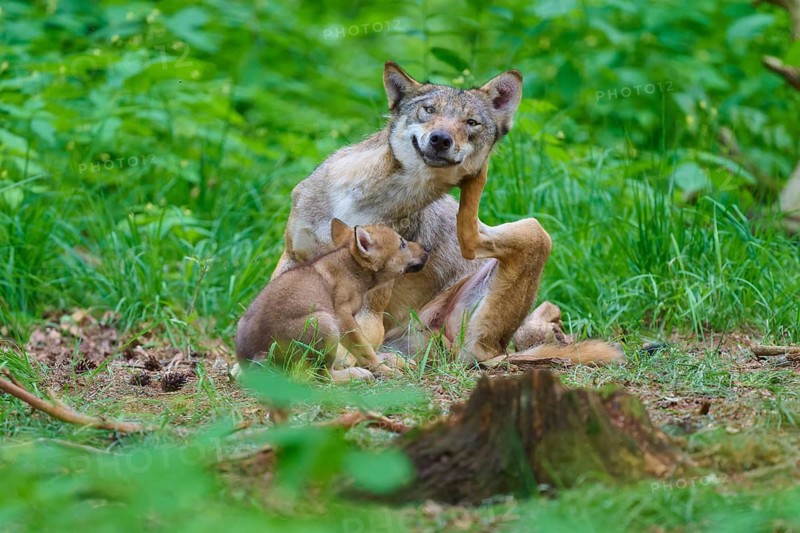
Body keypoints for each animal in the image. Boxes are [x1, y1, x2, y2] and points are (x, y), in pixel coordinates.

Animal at [236, 218, 429, 382]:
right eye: (402, 244)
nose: (427, 248)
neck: (351, 268)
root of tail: (257, 355)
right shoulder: (343, 318)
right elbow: (364, 348)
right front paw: (385, 370)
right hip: (324, 322)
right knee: (323, 375)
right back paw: (357, 375)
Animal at [270, 62, 621, 368]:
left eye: (471, 123)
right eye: (429, 110)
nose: (441, 139)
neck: (361, 201)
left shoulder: (371, 306)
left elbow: (350, 341)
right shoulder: (292, 259)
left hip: (529, 244)